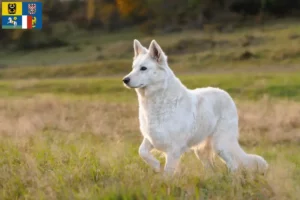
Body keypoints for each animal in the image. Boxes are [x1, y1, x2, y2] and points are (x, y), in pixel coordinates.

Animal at [123, 38, 268, 175]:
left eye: (143, 68)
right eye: (133, 67)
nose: (125, 80)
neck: (158, 100)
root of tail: (225, 93)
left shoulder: (173, 149)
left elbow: (168, 173)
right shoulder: (151, 138)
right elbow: (142, 151)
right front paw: (156, 165)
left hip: (221, 145)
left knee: (234, 165)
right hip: (202, 151)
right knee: (211, 168)